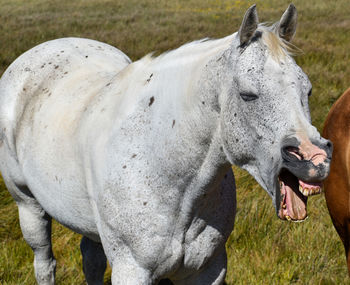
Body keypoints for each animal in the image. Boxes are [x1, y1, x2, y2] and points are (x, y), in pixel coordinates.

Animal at [0, 4, 332, 284]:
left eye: (307, 90)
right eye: (248, 95)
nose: (314, 159)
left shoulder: (208, 269)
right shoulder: (132, 270)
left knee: (91, 258)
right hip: (28, 206)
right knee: (45, 262)